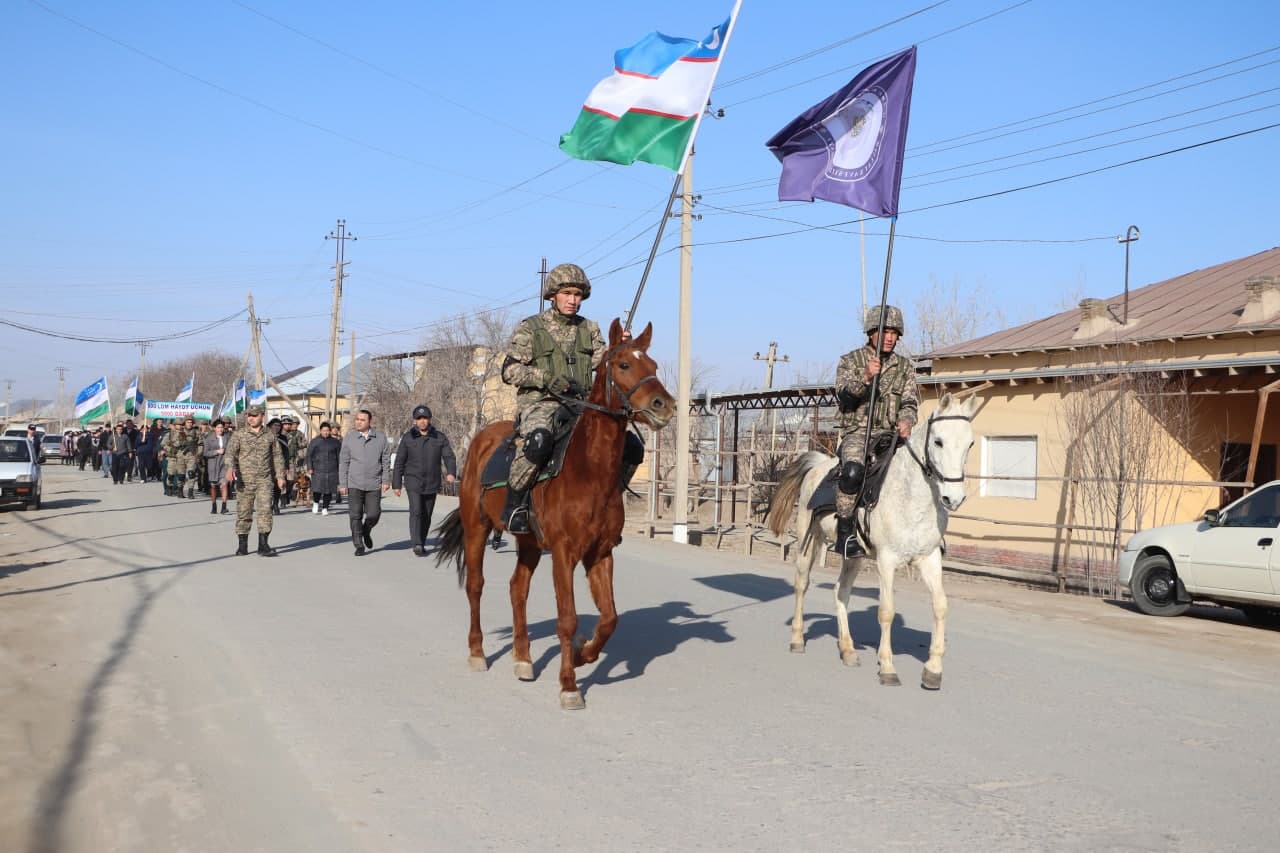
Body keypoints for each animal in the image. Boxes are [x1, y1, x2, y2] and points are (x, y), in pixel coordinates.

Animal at [435, 315, 675, 706]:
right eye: (624, 364)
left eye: (653, 365)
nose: (663, 405)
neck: (590, 472)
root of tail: (482, 437)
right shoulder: (563, 553)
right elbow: (567, 618)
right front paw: (569, 685)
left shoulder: (600, 554)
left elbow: (610, 618)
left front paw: (582, 654)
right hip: (477, 529)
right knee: (475, 586)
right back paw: (478, 652)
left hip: (530, 543)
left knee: (517, 588)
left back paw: (523, 658)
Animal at [762, 389, 972, 686]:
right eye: (938, 441)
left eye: (970, 444)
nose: (953, 498)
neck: (911, 496)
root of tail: (818, 465)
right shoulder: (887, 559)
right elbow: (886, 611)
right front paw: (887, 667)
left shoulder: (929, 558)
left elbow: (941, 606)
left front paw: (933, 670)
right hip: (808, 540)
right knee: (802, 584)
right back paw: (797, 639)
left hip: (854, 556)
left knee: (841, 591)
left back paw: (848, 649)